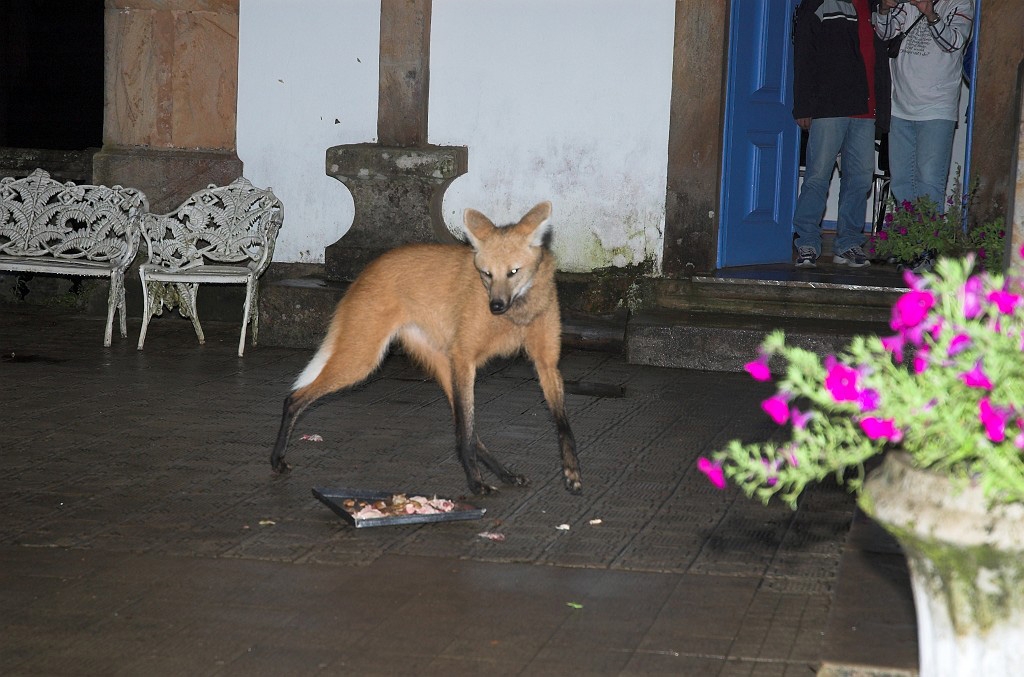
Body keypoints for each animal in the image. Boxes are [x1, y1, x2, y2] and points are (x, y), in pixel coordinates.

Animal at [268, 197, 581, 493]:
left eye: (513, 272)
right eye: (487, 274)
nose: (495, 306)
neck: (519, 313)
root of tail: (364, 272)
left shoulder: (544, 362)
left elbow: (563, 422)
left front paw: (572, 472)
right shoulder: (464, 358)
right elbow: (466, 429)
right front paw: (475, 483)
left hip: (439, 363)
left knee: (468, 431)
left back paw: (506, 475)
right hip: (364, 360)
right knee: (294, 398)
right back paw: (277, 458)